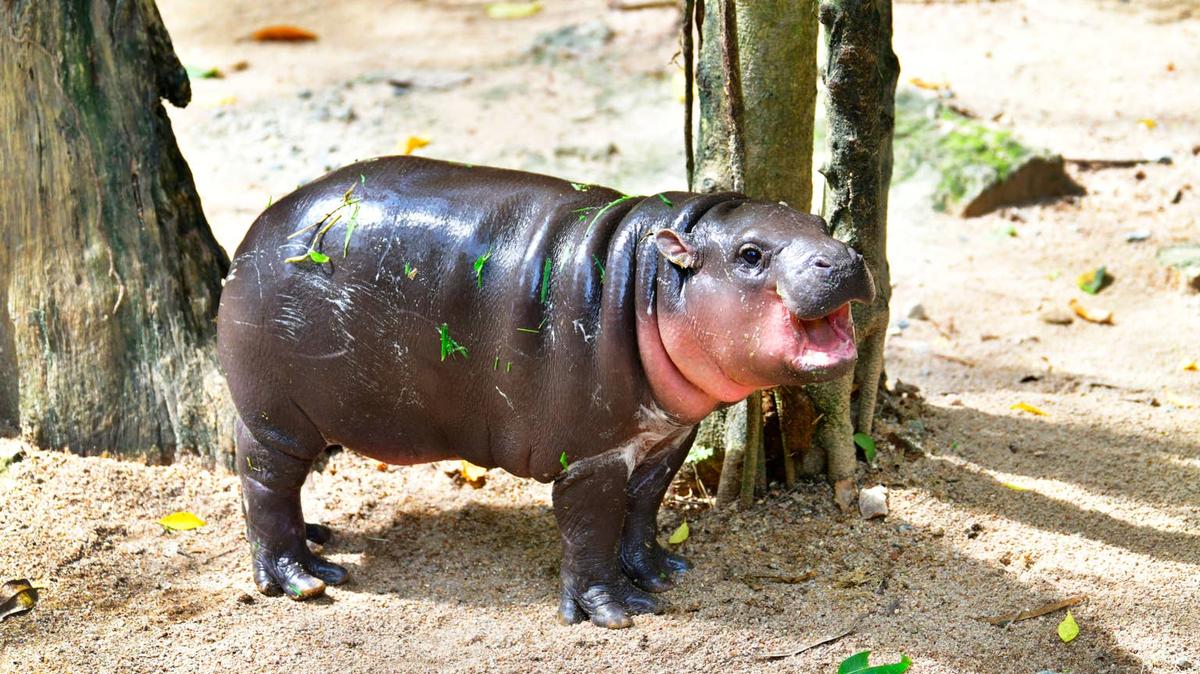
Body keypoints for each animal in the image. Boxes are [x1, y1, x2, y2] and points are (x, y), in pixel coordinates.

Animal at [216, 156, 874, 628]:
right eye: (750, 254)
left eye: (821, 223)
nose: (845, 257)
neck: (649, 279)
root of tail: (256, 229)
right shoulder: (590, 457)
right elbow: (590, 529)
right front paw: (612, 612)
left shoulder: (666, 440)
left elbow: (642, 511)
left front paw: (661, 573)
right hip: (277, 416)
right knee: (265, 484)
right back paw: (305, 577)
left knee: (276, 487)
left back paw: (318, 538)